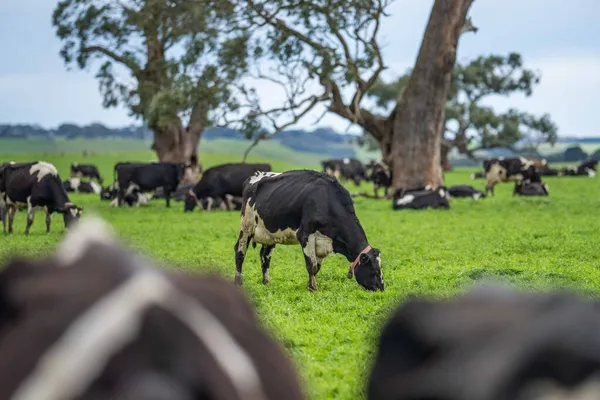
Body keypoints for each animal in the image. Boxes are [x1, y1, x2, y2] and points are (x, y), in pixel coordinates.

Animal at [234, 169, 384, 290]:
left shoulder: (323, 243)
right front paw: (313, 288)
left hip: (269, 234)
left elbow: (317, 267)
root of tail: (255, 175)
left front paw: (309, 285)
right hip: (246, 226)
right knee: (240, 252)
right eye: (375, 271)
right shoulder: (305, 235)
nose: (381, 289)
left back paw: (266, 283)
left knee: (265, 257)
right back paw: (238, 282)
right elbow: (311, 265)